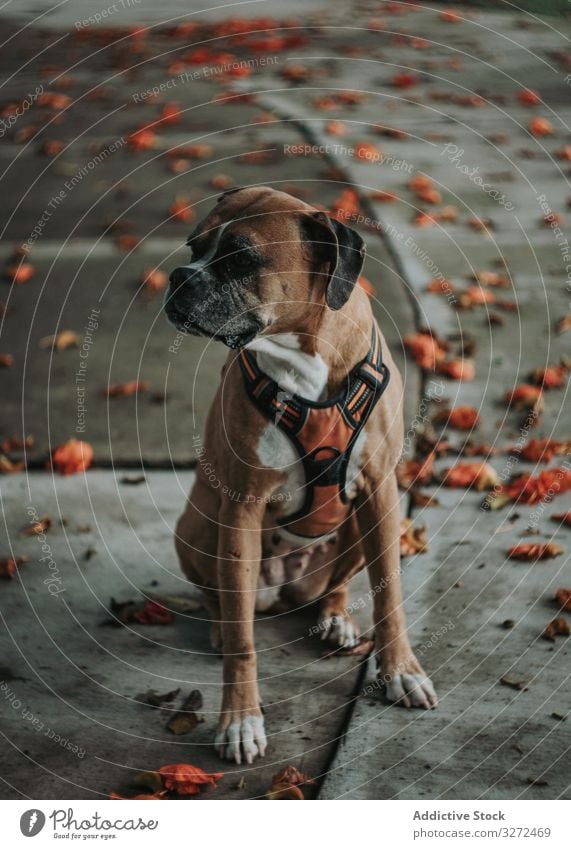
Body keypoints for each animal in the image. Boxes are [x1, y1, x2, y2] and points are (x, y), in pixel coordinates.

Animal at [165, 189, 438, 764]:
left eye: (241, 259)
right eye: (194, 247)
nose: (179, 276)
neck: (302, 355)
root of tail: (285, 587)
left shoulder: (381, 494)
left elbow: (389, 596)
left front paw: (401, 672)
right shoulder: (241, 507)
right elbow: (245, 643)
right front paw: (240, 721)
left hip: (357, 530)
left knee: (336, 585)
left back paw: (335, 617)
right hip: (199, 526)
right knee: (223, 599)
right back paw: (221, 625)